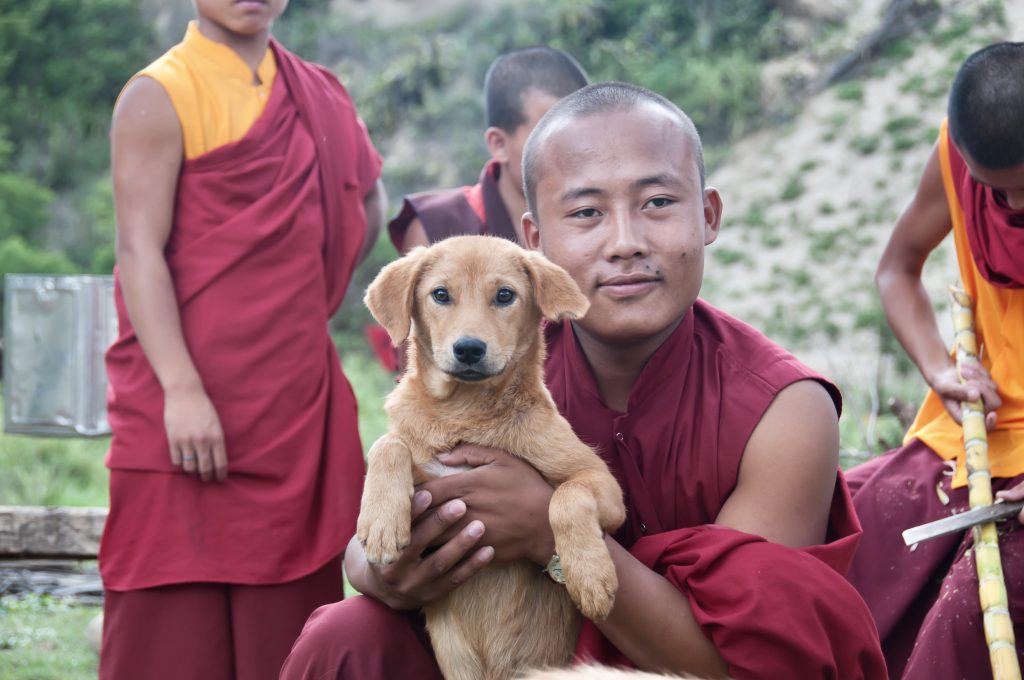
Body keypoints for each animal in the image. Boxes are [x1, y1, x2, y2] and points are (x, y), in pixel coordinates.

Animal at [360, 235, 630, 680]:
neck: (465, 412)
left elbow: (566, 499)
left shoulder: (603, 485)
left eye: (505, 295)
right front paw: (381, 523)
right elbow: (389, 444)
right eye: (440, 294)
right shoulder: (425, 468)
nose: (469, 349)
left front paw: (591, 577)